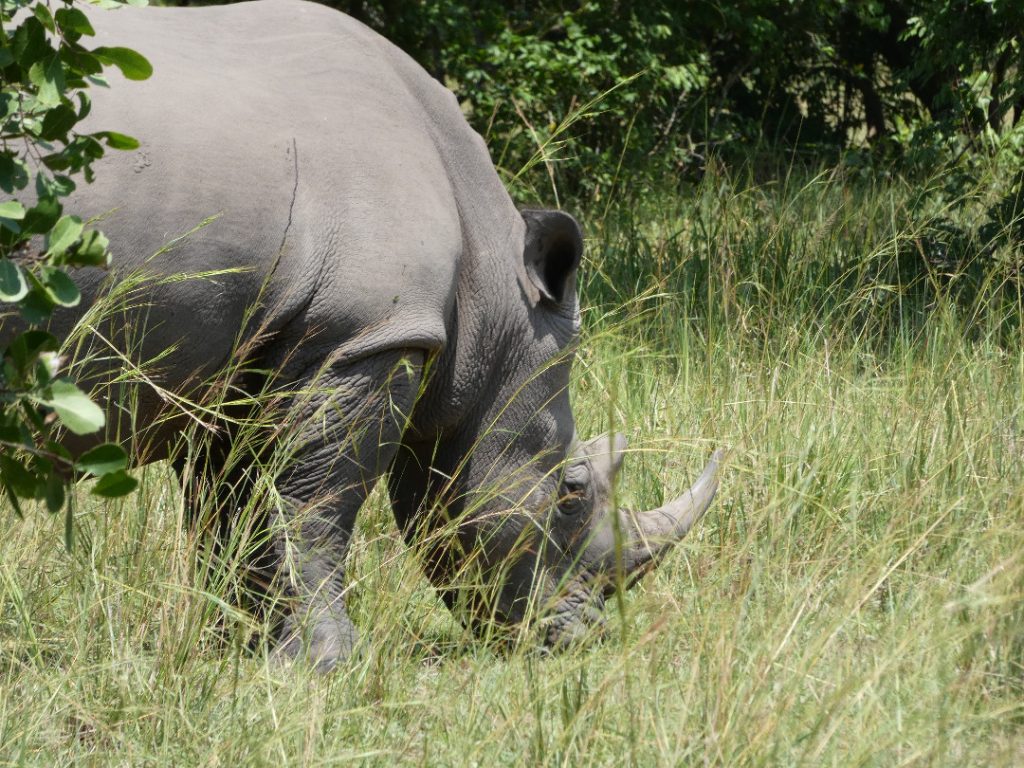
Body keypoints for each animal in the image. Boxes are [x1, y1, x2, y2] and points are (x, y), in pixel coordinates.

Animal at [12, 0, 722, 670]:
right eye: (572, 494)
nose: (579, 639)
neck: (492, 292)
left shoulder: (246, 357)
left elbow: (233, 505)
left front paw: (240, 652)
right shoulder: (368, 336)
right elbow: (316, 501)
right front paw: (328, 662)